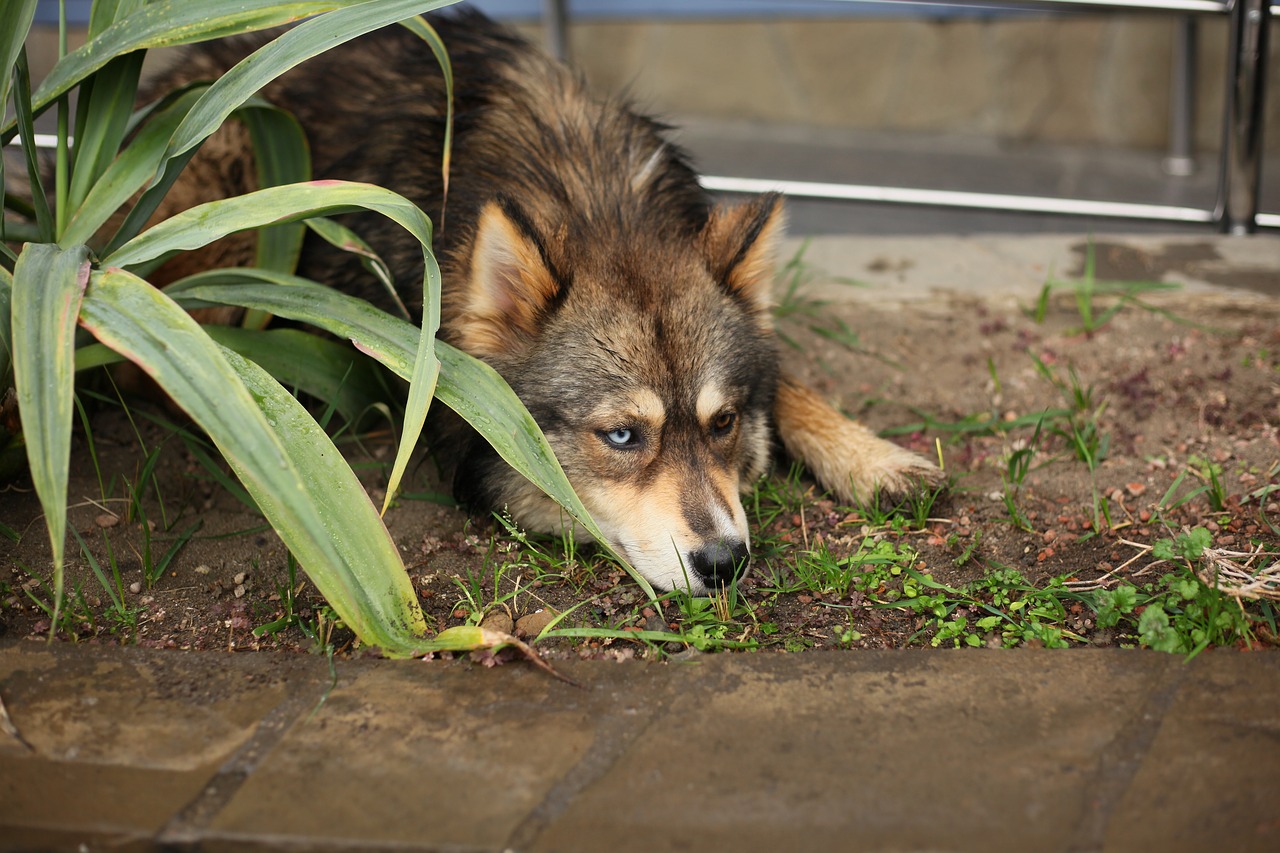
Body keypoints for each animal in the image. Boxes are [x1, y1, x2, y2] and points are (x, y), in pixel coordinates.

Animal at [147, 8, 942, 591]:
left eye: (723, 423)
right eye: (621, 437)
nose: (724, 564)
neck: (592, 199)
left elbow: (792, 385)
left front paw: (873, 457)